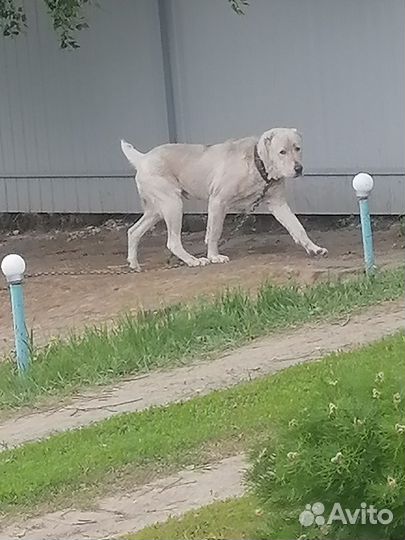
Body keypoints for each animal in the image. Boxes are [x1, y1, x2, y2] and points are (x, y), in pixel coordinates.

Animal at [120, 127, 326, 270]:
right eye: (282, 152)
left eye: (297, 148)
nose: (298, 169)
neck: (257, 163)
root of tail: (142, 158)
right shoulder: (218, 202)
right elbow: (214, 233)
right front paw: (214, 257)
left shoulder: (278, 204)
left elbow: (298, 228)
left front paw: (313, 248)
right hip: (173, 205)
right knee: (172, 241)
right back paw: (193, 260)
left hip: (156, 210)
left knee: (134, 231)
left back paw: (134, 264)